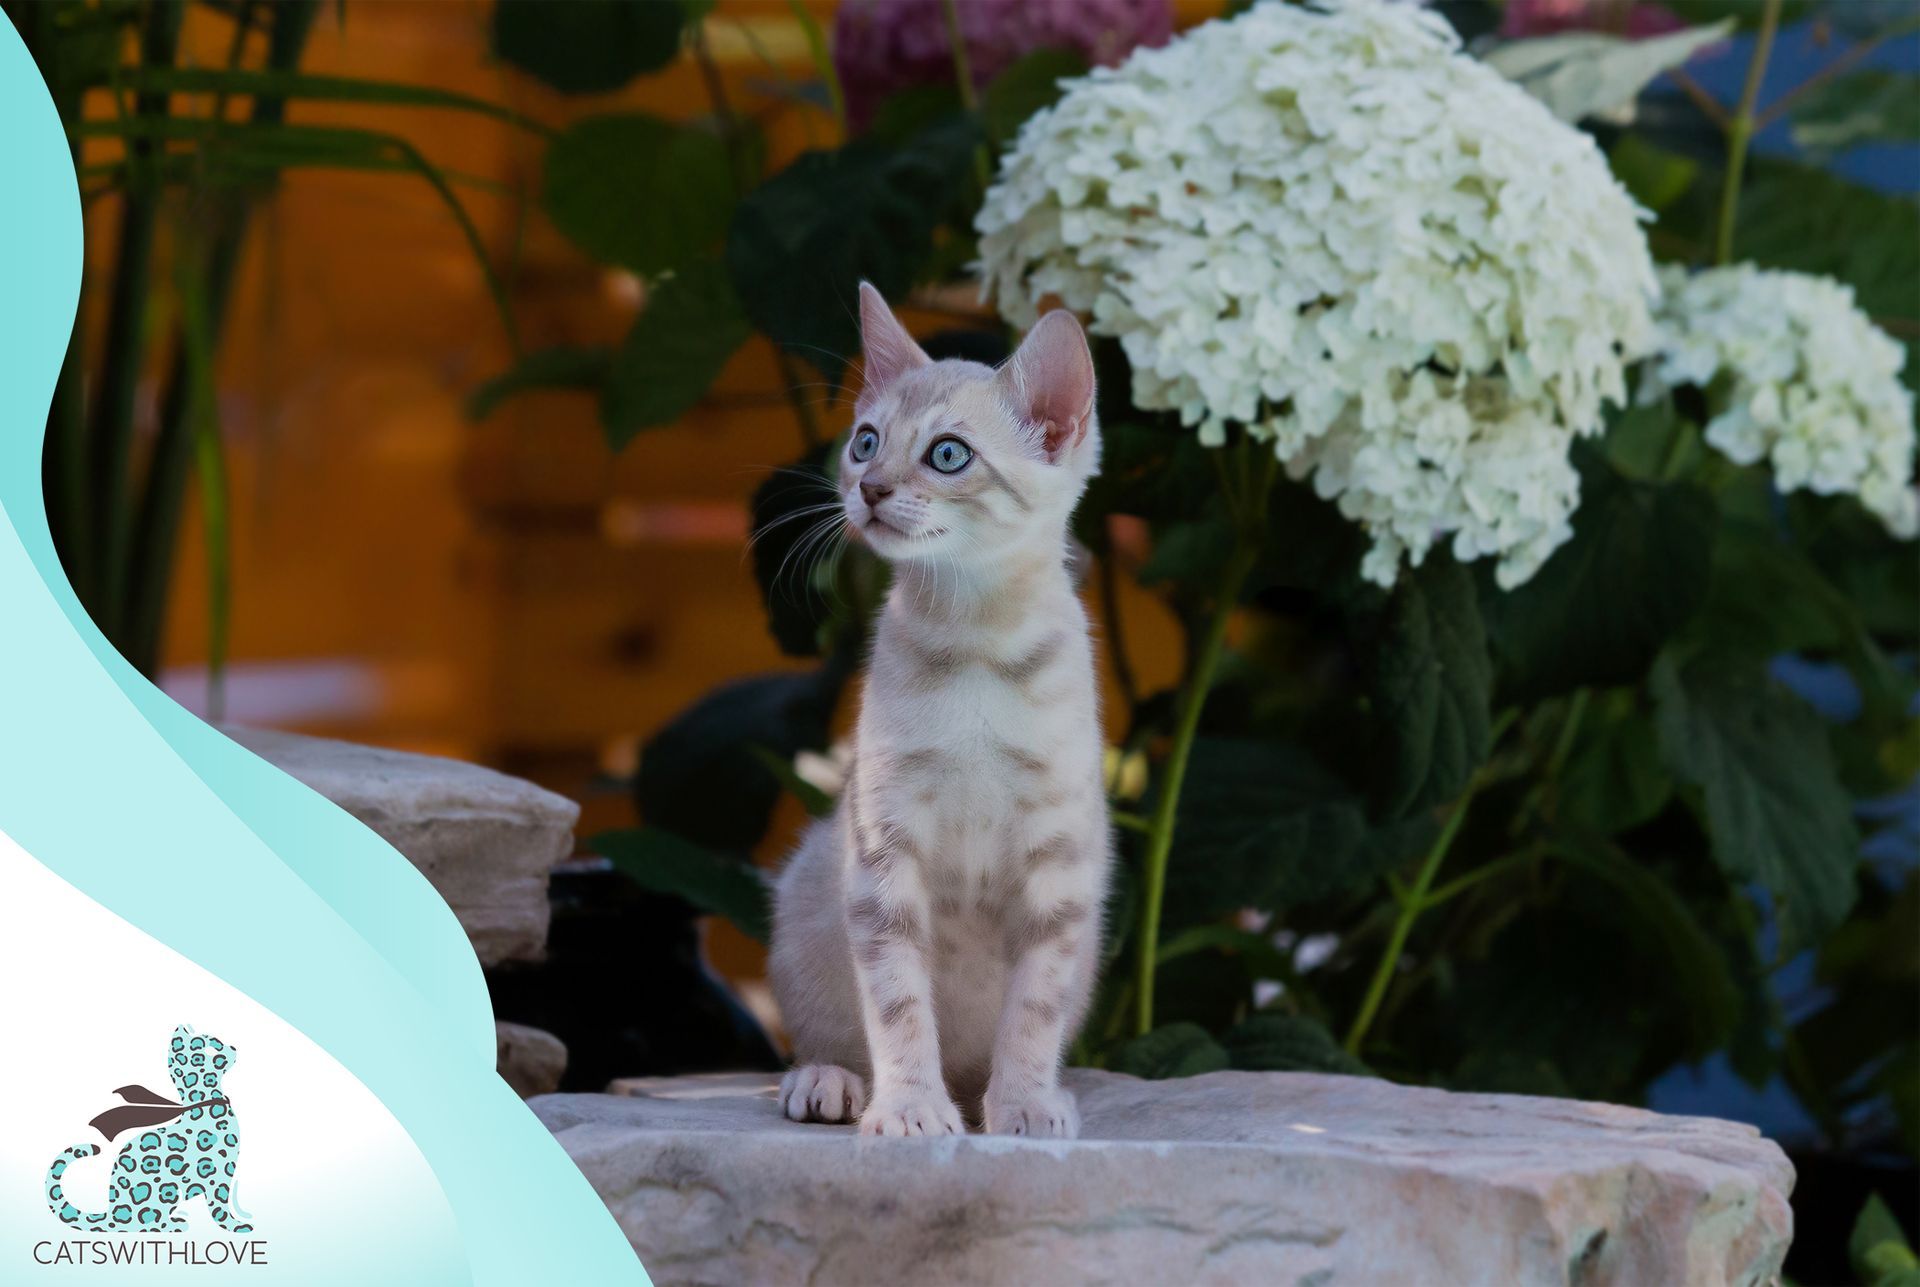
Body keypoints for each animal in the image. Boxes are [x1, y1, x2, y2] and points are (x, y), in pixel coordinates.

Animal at [768, 282, 1113, 1137]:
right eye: (865, 442)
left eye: (947, 453)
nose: (869, 488)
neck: (975, 646)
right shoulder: (882, 850)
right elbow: (897, 1002)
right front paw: (912, 1109)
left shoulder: (1060, 864)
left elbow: (1035, 1007)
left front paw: (1024, 1103)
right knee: (833, 1036)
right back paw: (826, 1080)